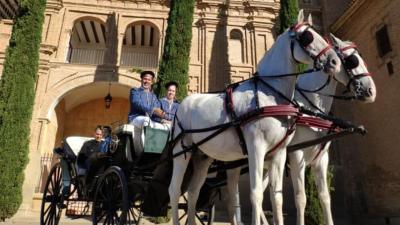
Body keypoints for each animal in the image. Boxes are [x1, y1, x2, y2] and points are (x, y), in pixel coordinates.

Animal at [169, 11, 340, 225]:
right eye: (307, 37)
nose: (334, 61)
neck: (270, 93)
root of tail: (184, 102)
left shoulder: (278, 154)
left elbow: (276, 197)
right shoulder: (256, 149)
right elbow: (256, 194)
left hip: (202, 157)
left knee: (193, 192)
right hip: (181, 152)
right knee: (174, 190)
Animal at [227, 33, 376, 225]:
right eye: (351, 61)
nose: (371, 91)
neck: (309, 107)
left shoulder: (321, 160)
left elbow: (325, 198)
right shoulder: (297, 156)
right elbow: (301, 198)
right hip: (236, 163)